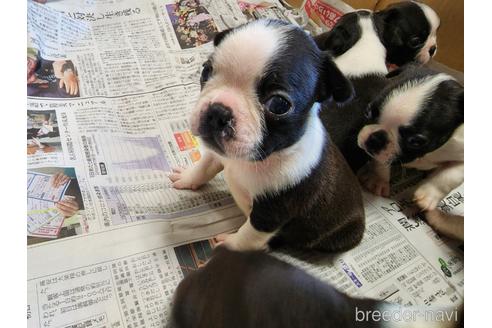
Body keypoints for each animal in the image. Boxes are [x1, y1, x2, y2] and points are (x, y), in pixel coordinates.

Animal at [169, 19, 366, 252]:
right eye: (206, 71)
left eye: (279, 104)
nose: (218, 112)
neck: (252, 160)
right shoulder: (219, 153)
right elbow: (205, 165)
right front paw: (188, 177)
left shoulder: (271, 213)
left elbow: (248, 235)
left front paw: (229, 246)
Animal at [356, 64, 464, 213]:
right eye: (368, 112)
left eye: (415, 142)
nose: (375, 139)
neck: (426, 155)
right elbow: (381, 163)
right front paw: (377, 181)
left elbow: (450, 176)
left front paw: (428, 195)